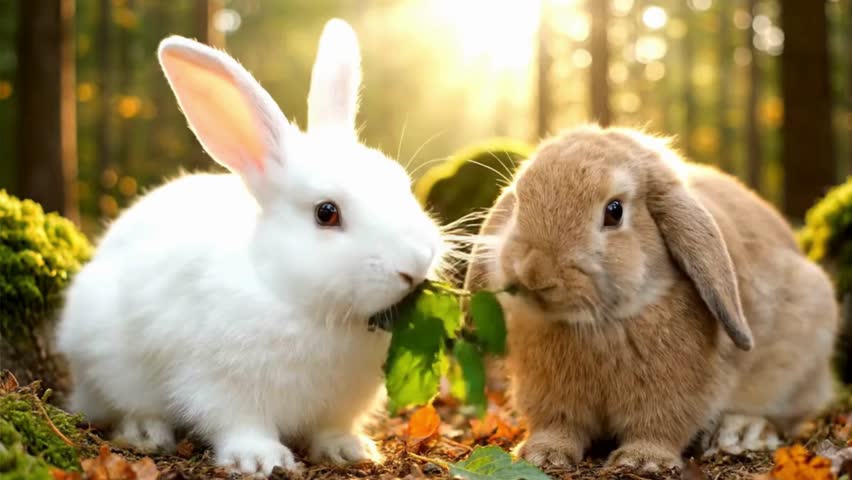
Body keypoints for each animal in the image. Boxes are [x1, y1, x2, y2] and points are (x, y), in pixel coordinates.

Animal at [56, 19, 443, 476]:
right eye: (326, 213)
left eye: (401, 182)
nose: (416, 264)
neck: (296, 300)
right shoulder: (220, 385)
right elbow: (239, 422)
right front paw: (261, 459)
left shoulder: (341, 403)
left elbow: (331, 427)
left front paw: (349, 449)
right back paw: (146, 433)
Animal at [465, 125, 838, 473]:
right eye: (518, 201)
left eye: (614, 211)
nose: (534, 272)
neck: (599, 324)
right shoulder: (550, 398)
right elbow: (557, 425)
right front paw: (543, 454)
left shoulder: (673, 396)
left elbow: (659, 427)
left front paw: (642, 461)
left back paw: (743, 432)